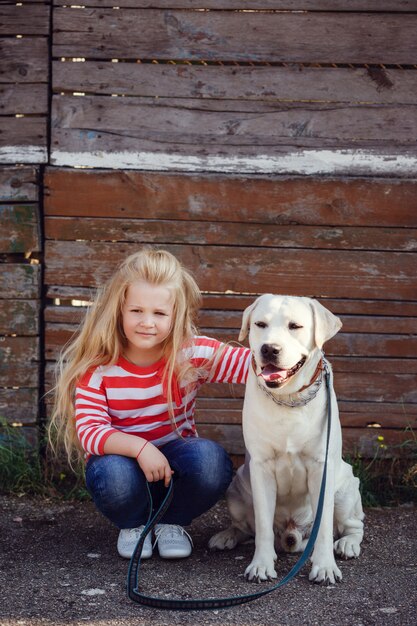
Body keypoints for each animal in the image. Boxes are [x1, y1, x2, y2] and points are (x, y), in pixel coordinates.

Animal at [210, 294, 362, 584]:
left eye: (295, 326)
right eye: (260, 324)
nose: (269, 349)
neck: (289, 398)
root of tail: (294, 533)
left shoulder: (321, 468)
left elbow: (324, 528)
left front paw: (325, 566)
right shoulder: (260, 468)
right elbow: (262, 527)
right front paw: (261, 564)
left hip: (346, 489)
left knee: (352, 526)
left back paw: (347, 544)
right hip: (236, 488)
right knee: (247, 528)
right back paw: (227, 536)